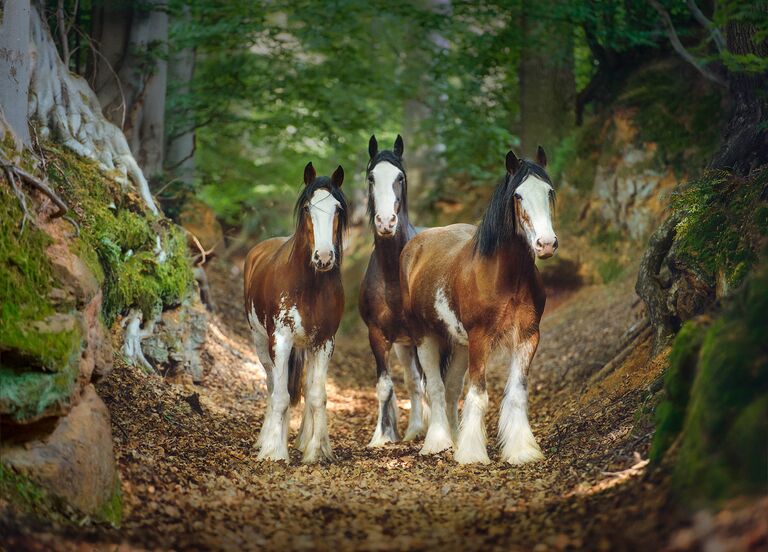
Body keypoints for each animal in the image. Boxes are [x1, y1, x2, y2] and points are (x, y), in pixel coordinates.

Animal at [243, 162, 348, 464]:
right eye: (307, 208)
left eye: (338, 209)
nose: (323, 258)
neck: (308, 285)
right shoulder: (280, 340)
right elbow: (279, 395)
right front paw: (274, 452)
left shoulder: (324, 342)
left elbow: (316, 395)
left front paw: (317, 451)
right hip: (261, 342)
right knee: (272, 386)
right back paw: (266, 439)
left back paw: (302, 440)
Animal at [402, 146, 560, 462]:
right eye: (518, 196)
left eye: (549, 191)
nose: (546, 244)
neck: (505, 277)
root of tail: (416, 244)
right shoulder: (480, 338)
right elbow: (478, 394)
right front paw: (472, 454)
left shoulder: (528, 336)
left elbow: (517, 392)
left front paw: (522, 450)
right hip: (426, 338)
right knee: (435, 389)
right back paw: (437, 442)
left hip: (460, 345)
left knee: (450, 390)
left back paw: (453, 439)